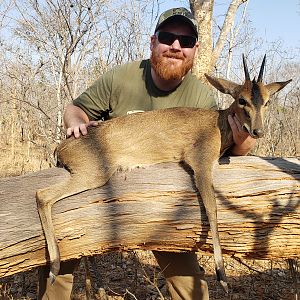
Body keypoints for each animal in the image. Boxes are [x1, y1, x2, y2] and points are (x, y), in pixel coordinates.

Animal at [35, 55, 290, 292]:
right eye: (241, 100)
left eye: (267, 101)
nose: (258, 131)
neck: (219, 124)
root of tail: (61, 146)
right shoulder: (200, 164)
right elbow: (212, 210)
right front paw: (222, 276)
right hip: (94, 174)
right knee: (42, 195)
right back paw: (54, 268)